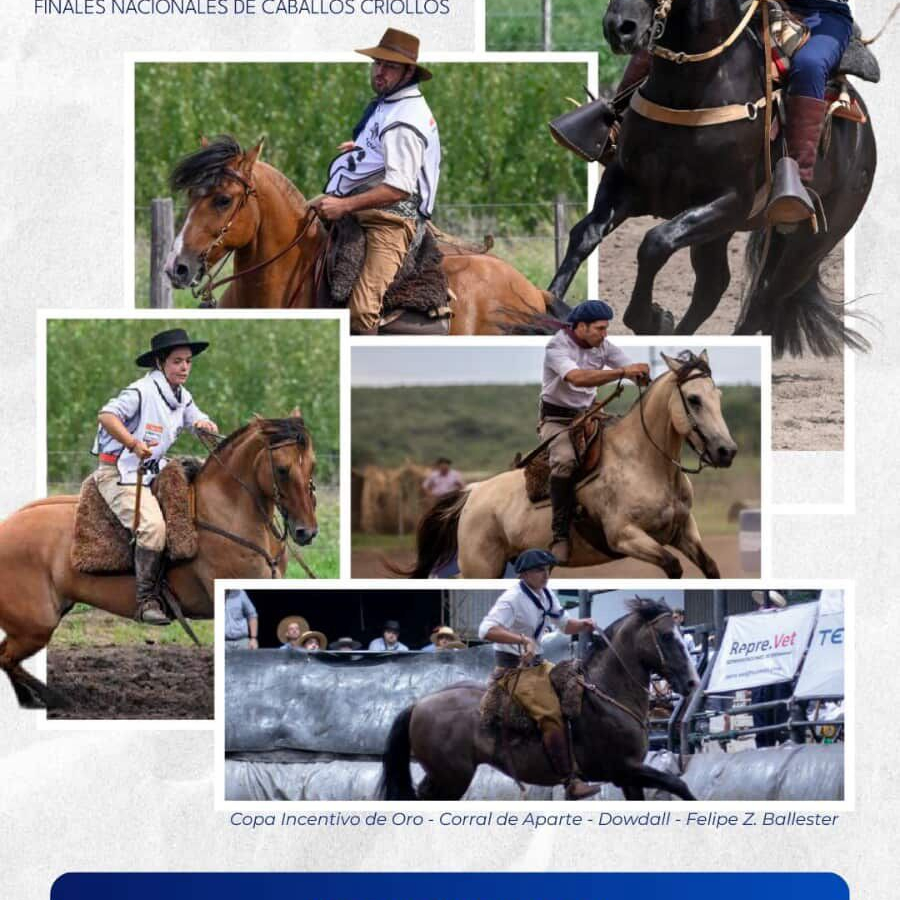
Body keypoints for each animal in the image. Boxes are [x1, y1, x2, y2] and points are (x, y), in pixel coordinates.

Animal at [0, 410, 318, 709]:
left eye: (312, 465)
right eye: (282, 469)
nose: (306, 531)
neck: (226, 514)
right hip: (35, 626)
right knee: (6, 658)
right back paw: (55, 698)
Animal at [378, 597, 700, 801]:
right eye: (667, 636)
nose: (692, 682)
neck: (606, 695)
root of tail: (419, 704)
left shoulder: (629, 777)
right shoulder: (625, 768)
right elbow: (679, 784)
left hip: (442, 776)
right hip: (452, 778)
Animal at [403, 351, 737, 579]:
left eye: (718, 396)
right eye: (693, 399)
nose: (727, 451)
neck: (646, 463)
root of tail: (473, 492)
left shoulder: (683, 530)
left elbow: (711, 567)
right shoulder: (624, 536)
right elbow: (672, 565)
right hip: (481, 567)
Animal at [548, 0, 876, 356]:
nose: (619, 27)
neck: (693, 89)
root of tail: (865, 139)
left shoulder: (730, 202)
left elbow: (655, 242)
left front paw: (652, 319)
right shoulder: (626, 182)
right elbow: (585, 234)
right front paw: (552, 304)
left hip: (810, 244)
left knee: (765, 300)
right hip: (721, 235)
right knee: (713, 285)